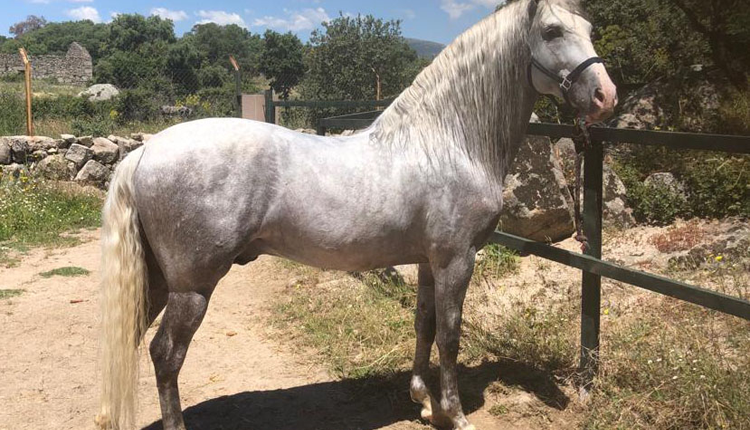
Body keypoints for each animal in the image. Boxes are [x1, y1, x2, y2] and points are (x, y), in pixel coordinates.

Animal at [97, 0, 617, 429]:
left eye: (590, 28)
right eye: (551, 31)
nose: (605, 96)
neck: (447, 141)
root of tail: (144, 152)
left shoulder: (428, 261)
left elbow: (424, 325)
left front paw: (423, 401)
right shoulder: (457, 259)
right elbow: (450, 335)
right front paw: (454, 414)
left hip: (157, 281)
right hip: (192, 286)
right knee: (166, 356)